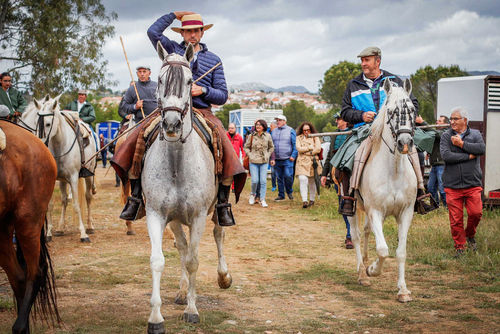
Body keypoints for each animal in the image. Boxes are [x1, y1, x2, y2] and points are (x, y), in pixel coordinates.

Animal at [21, 94, 97, 243]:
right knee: (64, 200)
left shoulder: (73, 178)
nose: (40, 144)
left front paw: (83, 234)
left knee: (88, 197)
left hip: (89, 174)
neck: (59, 146)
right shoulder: (53, 178)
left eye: (48, 124)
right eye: (36, 123)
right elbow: (50, 205)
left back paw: (90, 226)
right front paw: (49, 233)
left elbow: (77, 205)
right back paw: (61, 228)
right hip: (62, 180)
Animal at [348, 78, 418, 302]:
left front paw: (403, 290)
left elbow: (400, 252)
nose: (405, 143)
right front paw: (372, 270)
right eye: (391, 111)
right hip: (352, 208)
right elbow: (383, 250)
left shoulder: (405, 213)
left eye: (412, 109)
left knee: (366, 231)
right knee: (356, 236)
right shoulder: (376, 212)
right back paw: (362, 273)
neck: (393, 172)